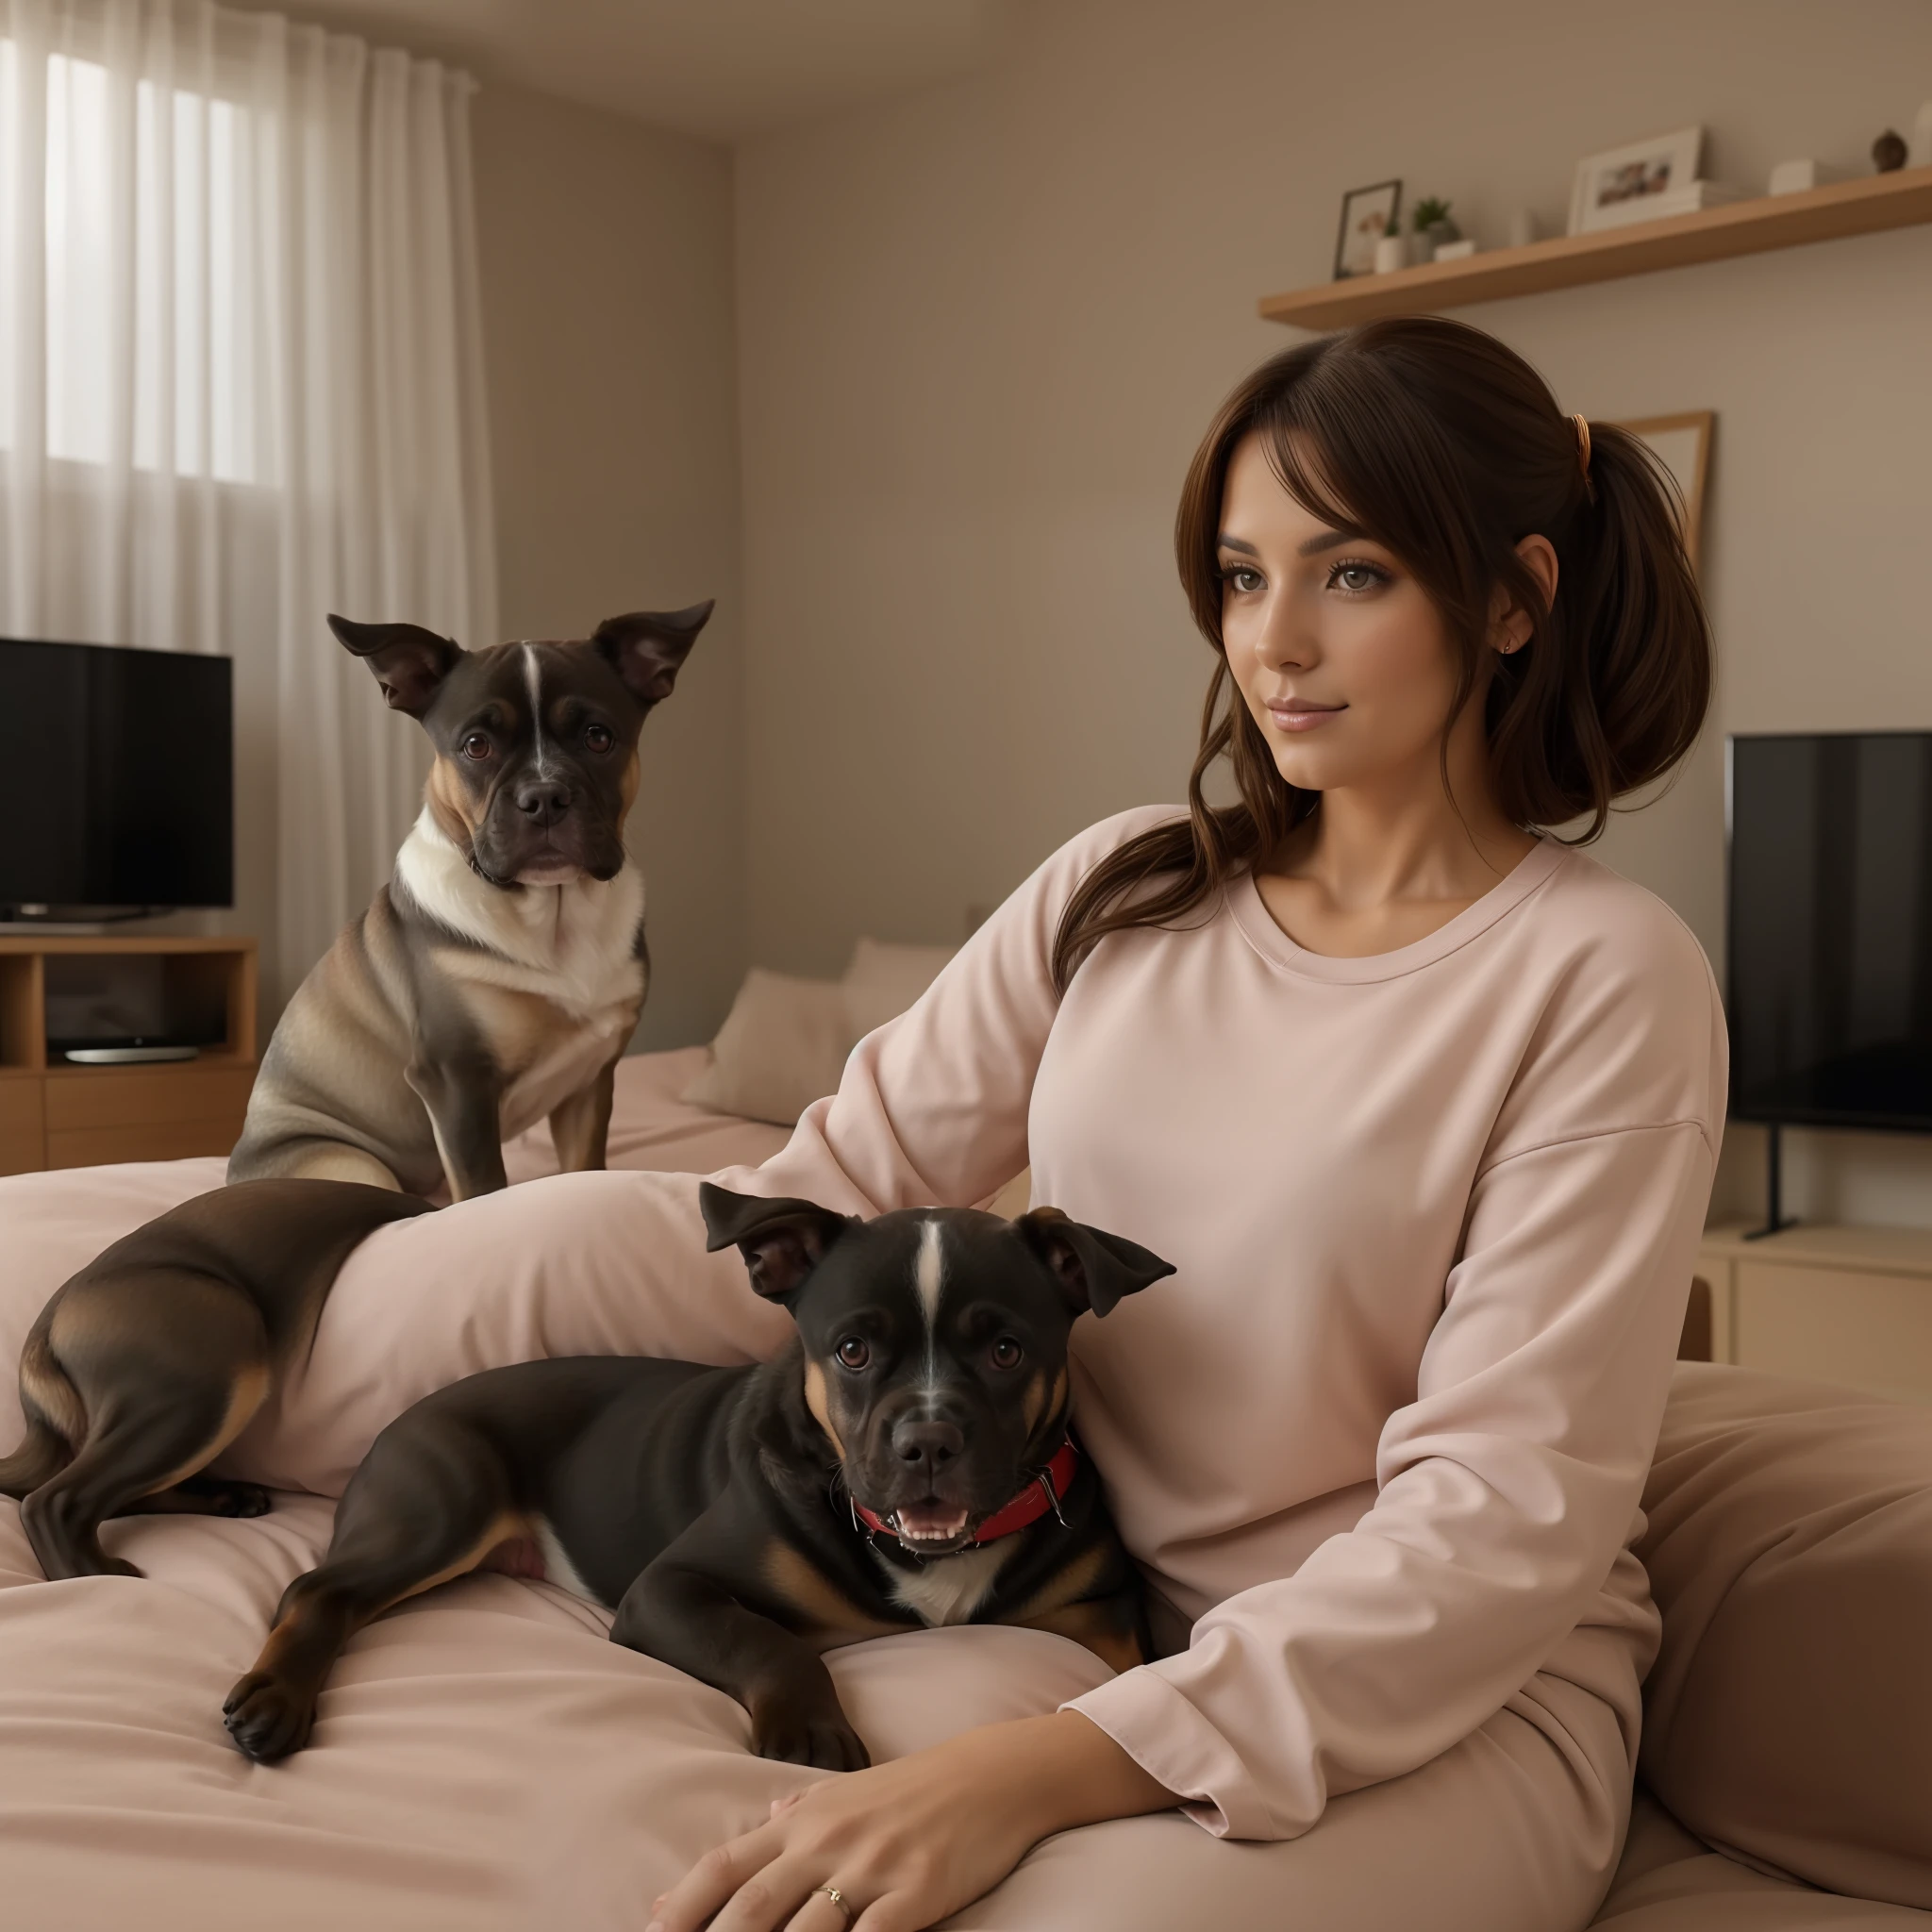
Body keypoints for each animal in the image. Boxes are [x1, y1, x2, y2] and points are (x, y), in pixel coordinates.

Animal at [219, 1174, 1166, 1769]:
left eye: (1007, 1351)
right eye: (852, 1351)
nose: (927, 1440)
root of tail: (410, 1410)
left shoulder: (1103, 1612)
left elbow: (1134, 1669)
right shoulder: (670, 1589)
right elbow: (772, 1641)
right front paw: (811, 1729)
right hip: (441, 1503)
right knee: (321, 1591)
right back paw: (273, 1700)